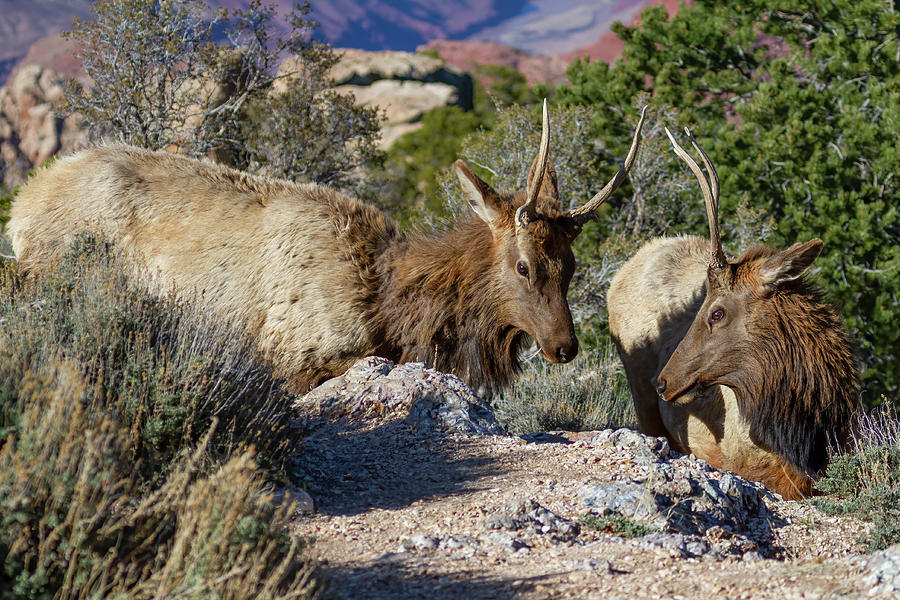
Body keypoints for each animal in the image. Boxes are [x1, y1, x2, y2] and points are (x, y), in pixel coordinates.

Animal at [10, 102, 652, 394]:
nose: (565, 346)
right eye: (523, 264)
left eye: (570, 266)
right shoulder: (298, 352)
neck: (390, 304)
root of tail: (21, 206)